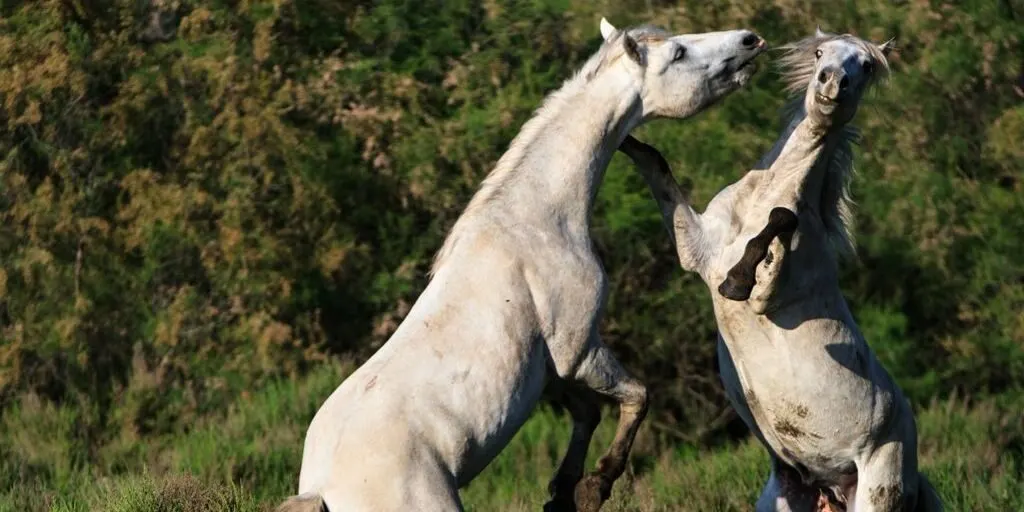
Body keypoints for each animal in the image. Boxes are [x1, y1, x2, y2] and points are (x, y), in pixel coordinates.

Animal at [276, 17, 765, 512]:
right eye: (678, 53)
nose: (750, 40)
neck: (534, 219)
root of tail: (321, 488)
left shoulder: (551, 372)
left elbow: (588, 413)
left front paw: (563, 491)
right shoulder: (578, 351)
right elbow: (637, 397)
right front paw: (594, 486)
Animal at [614, 29, 942, 509]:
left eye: (865, 65)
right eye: (821, 53)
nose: (832, 82)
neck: (762, 196)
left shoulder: (768, 298)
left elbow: (780, 226)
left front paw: (738, 280)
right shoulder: (698, 249)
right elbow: (656, 163)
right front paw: (621, 135)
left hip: (878, 488)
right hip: (786, 494)